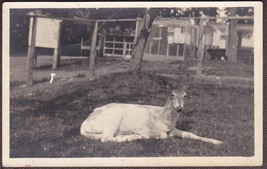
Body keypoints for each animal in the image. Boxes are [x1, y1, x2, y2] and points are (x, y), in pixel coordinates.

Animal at [80, 75, 223, 145]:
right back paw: (133, 136)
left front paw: (217, 141)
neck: (163, 118)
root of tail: (85, 123)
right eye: (172, 94)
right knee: (106, 138)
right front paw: (152, 136)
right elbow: (163, 135)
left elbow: (191, 134)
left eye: (185, 95)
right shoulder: (143, 127)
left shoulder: (172, 128)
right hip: (113, 119)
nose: (179, 108)